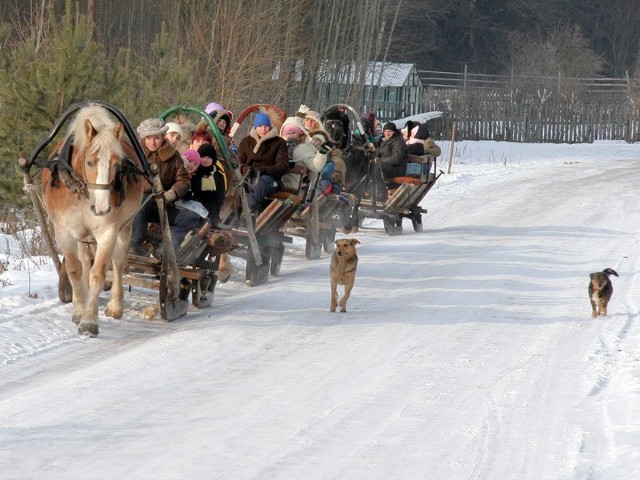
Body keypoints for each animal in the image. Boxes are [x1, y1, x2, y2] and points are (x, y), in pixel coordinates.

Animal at [43, 105, 146, 336]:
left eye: (117, 164)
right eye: (90, 162)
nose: (102, 207)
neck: (81, 191)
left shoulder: (108, 230)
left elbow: (98, 273)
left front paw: (90, 320)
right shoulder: (63, 231)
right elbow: (74, 270)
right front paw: (79, 311)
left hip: (125, 227)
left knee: (118, 262)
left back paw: (115, 305)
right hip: (82, 235)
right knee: (83, 261)